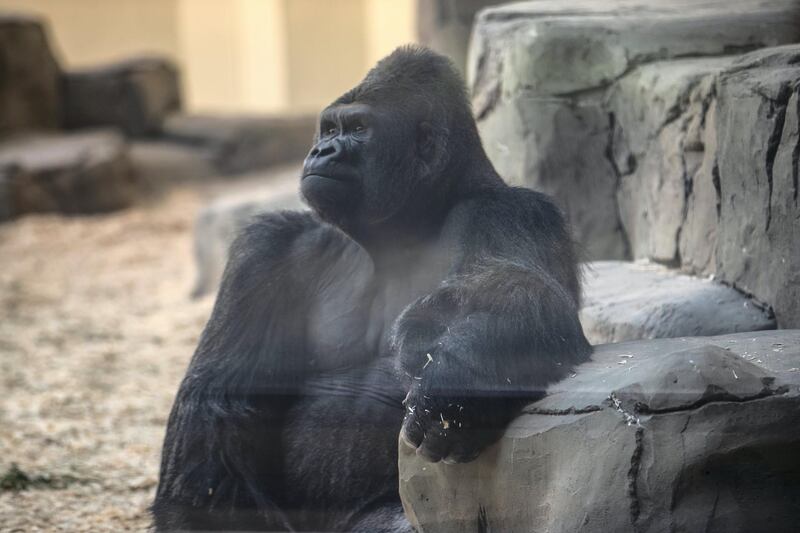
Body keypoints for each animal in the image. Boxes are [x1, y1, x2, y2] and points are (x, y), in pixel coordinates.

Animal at [153, 47, 592, 528]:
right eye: (330, 129)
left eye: (359, 129)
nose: (321, 150)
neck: (401, 230)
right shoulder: (267, 248)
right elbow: (217, 415)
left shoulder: (514, 210)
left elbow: (528, 300)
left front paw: (459, 380)